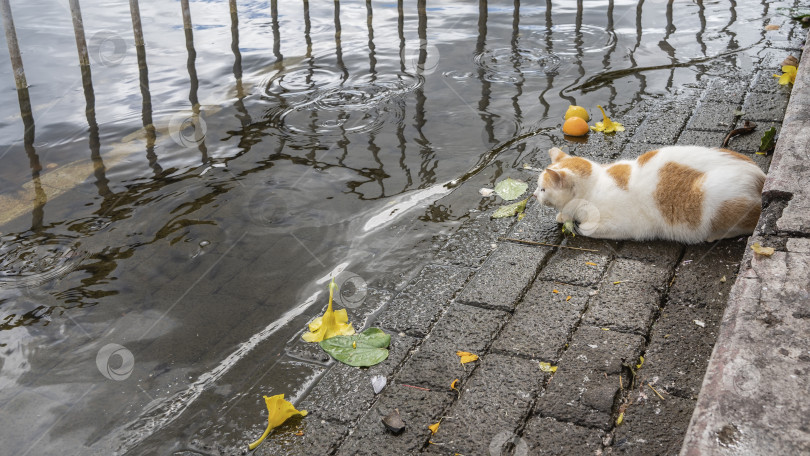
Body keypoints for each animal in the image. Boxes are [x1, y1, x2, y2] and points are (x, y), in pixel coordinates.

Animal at [532, 148, 764, 244]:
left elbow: (587, 228)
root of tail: (761, 177)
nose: (533, 195)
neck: (596, 181)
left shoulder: (620, 226)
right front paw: (563, 216)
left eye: (542, 189)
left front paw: (573, 223)